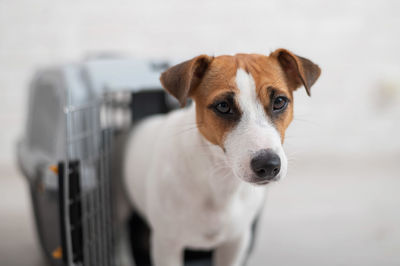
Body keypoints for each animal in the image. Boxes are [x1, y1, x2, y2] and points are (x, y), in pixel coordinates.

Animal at [120, 48, 320, 266]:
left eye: (279, 102)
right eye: (223, 106)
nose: (268, 165)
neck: (219, 182)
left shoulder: (235, 243)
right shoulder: (167, 246)